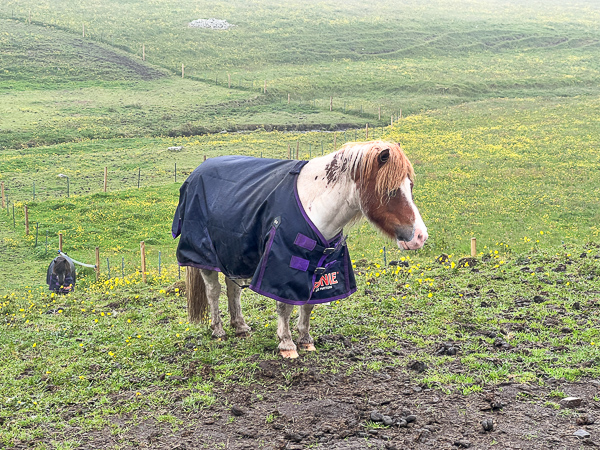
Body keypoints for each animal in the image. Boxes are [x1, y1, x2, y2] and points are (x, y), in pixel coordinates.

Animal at [188, 141, 426, 358]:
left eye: (410, 186)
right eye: (390, 191)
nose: (420, 236)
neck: (315, 205)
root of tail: (198, 171)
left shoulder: (318, 265)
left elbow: (308, 304)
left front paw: (305, 339)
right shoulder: (282, 265)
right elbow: (284, 306)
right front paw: (287, 344)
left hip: (234, 255)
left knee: (233, 288)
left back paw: (240, 327)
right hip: (206, 258)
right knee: (214, 291)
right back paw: (218, 330)